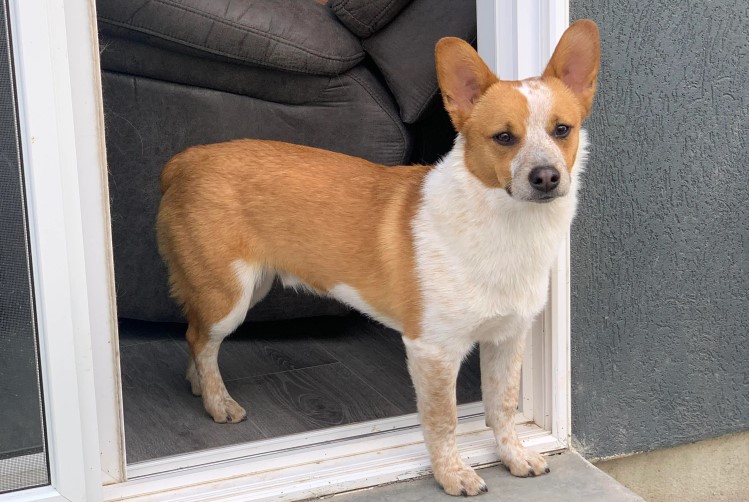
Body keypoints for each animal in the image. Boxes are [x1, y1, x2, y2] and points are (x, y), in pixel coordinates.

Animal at [156, 18, 596, 494]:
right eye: (503, 137)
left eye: (562, 130)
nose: (546, 177)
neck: (510, 229)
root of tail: (187, 159)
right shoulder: (432, 350)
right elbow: (444, 421)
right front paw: (453, 474)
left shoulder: (507, 339)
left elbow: (503, 406)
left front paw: (513, 456)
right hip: (229, 297)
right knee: (200, 339)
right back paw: (217, 402)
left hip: (249, 287)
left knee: (197, 336)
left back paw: (199, 387)